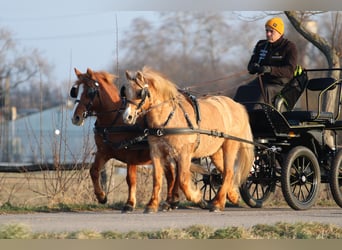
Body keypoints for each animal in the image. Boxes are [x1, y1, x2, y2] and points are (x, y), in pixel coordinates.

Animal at [70, 68, 179, 213]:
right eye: (75, 91)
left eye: (90, 92)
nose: (76, 118)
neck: (114, 121)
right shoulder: (103, 152)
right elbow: (93, 171)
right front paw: (101, 196)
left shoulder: (131, 154)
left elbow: (130, 179)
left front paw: (129, 204)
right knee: (171, 175)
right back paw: (169, 202)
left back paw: (173, 201)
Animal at [122, 66, 254, 211]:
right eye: (125, 93)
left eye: (139, 93)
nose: (127, 117)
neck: (168, 119)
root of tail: (236, 105)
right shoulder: (156, 152)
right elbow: (157, 178)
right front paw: (152, 204)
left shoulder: (184, 153)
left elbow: (182, 180)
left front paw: (198, 198)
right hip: (215, 151)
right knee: (225, 172)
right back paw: (230, 197)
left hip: (230, 145)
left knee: (229, 172)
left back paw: (218, 204)